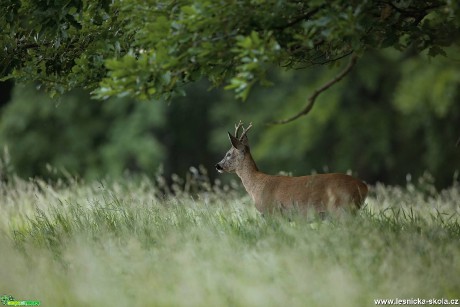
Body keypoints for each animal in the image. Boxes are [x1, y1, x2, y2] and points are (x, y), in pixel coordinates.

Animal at [214, 121, 368, 215]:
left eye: (228, 154)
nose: (217, 165)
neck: (256, 185)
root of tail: (364, 186)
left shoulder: (271, 211)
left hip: (343, 207)